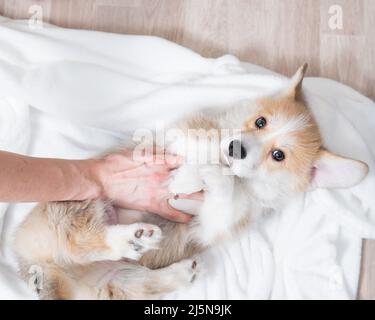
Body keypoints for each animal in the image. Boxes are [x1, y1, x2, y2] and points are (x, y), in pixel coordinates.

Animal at [13, 63, 368, 298]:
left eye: (278, 155)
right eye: (260, 122)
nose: (236, 148)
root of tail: (40, 264)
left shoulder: (215, 223)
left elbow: (225, 195)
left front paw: (203, 178)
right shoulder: (181, 132)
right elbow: (205, 143)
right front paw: (189, 176)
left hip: (116, 281)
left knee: (130, 279)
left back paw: (172, 266)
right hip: (82, 200)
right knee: (80, 238)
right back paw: (128, 240)